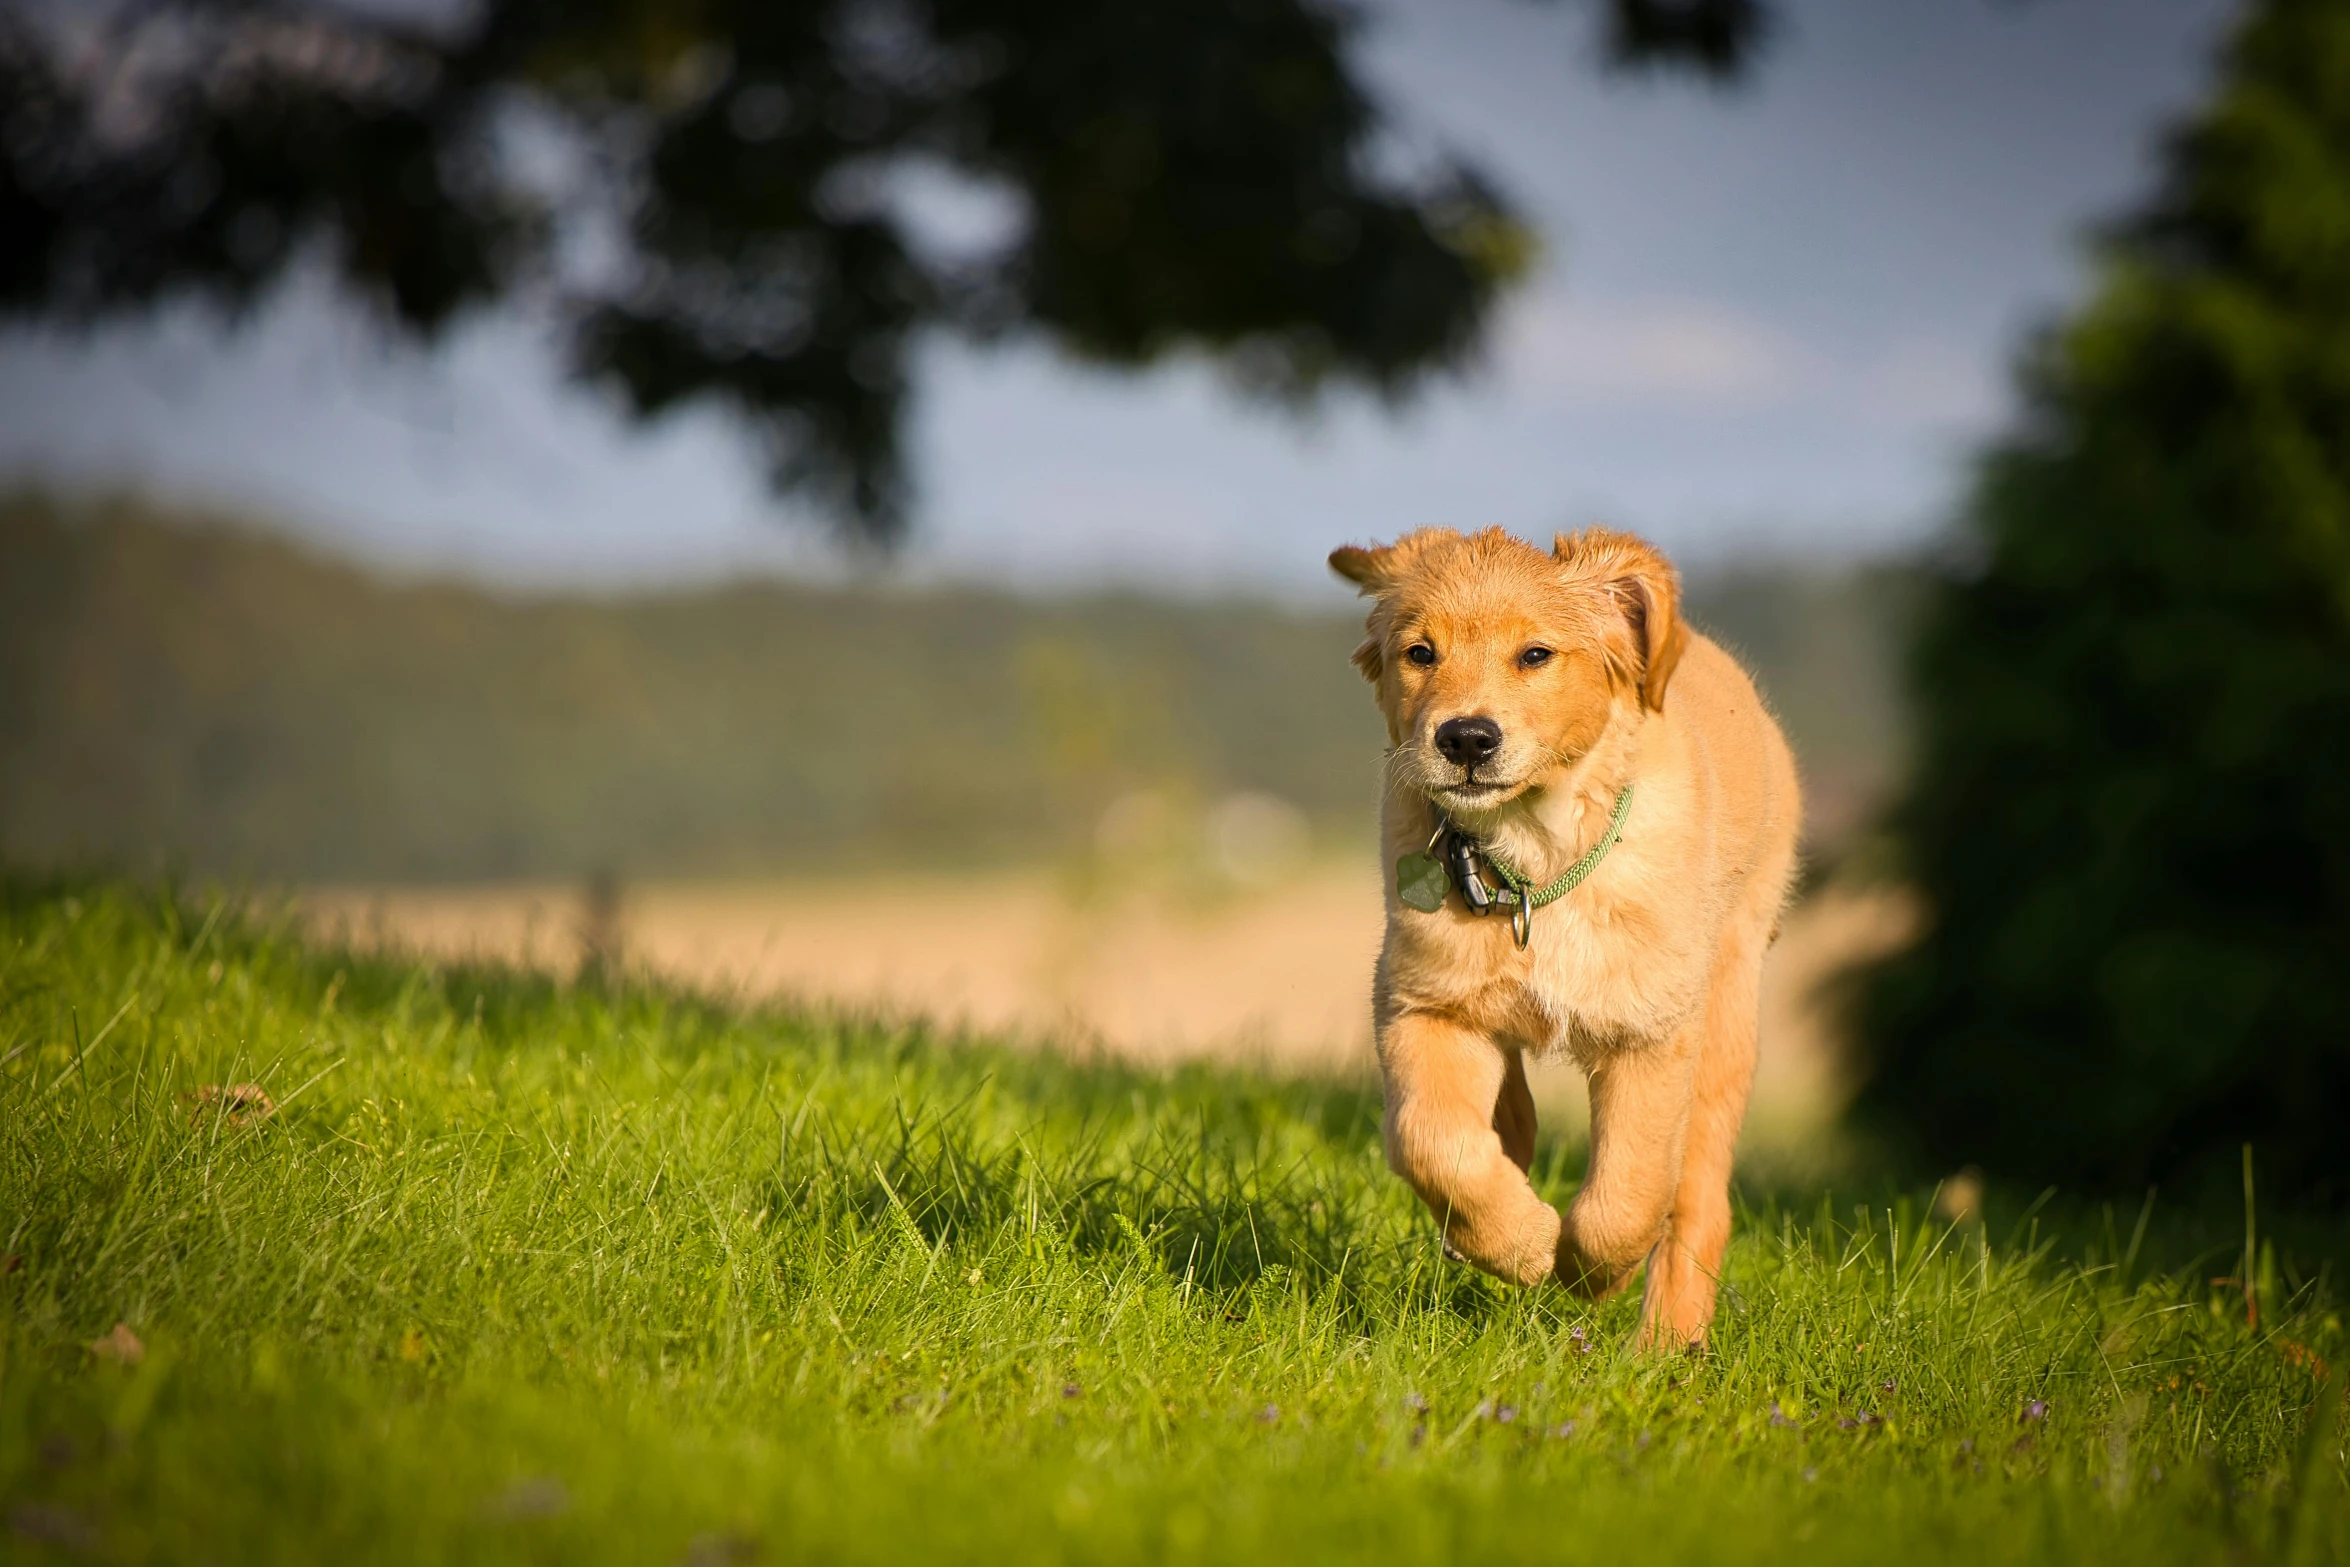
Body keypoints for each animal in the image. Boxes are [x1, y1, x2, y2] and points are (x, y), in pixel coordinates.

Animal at [1334, 523, 1804, 1353]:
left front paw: (1592, 1272)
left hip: (1728, 1003)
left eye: (1535, 655)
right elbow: (1431, 1138)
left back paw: (1664, 1348)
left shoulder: (1653, 1029)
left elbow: (1631, 1188)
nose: (1466, 738)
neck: (1534, 860)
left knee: (1699, 1195)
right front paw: (1517, 1241)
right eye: (1420, 652)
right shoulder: (1422, 1001)